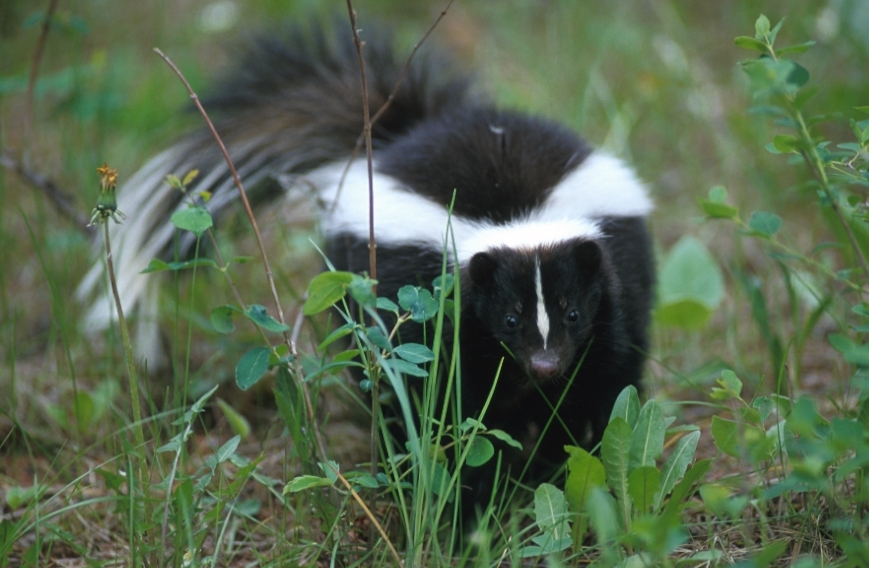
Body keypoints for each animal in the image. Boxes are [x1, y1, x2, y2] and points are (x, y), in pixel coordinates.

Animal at [78, 21, 656, 510]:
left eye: (572, 313)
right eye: (510, 318)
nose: (546, 366)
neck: (513, 216)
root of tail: (413, 127)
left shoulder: (609, 292)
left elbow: (603, 383)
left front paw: (569, 462)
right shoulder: (441, 318)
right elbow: (448, 410)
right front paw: (468, 502)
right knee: (383, 387)